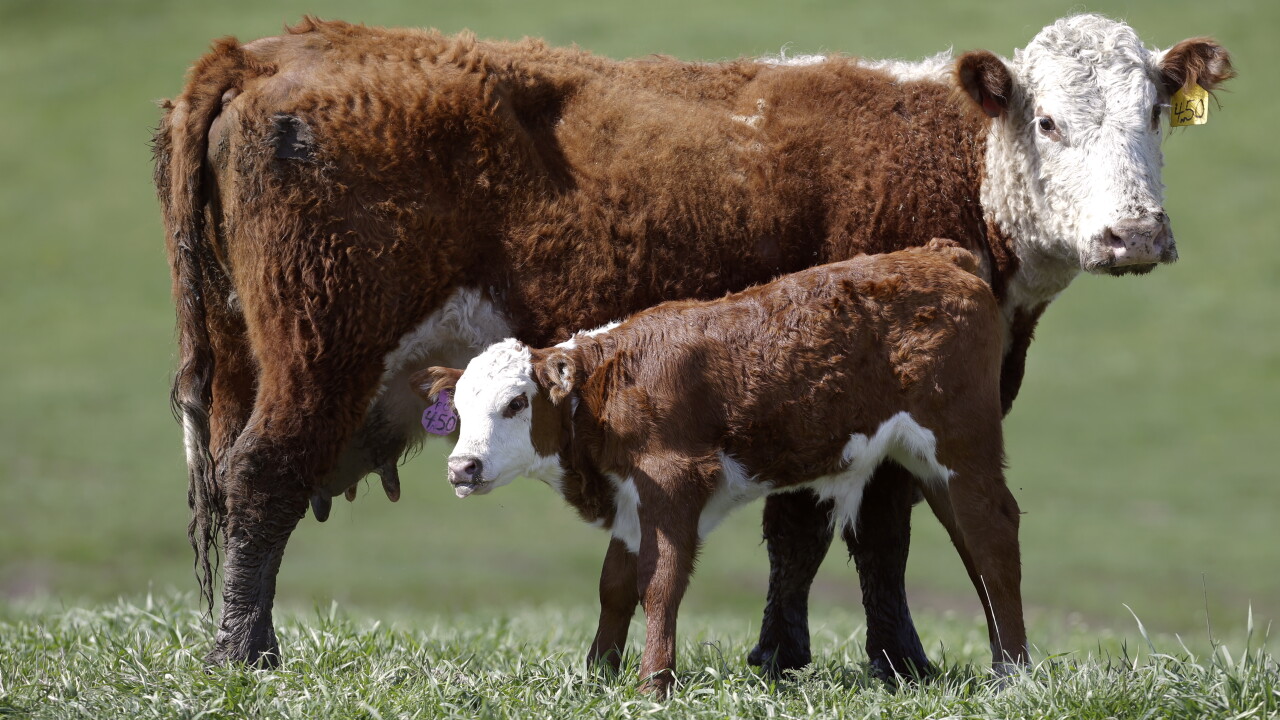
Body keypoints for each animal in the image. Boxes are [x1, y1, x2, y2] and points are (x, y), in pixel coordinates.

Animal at [412, 241, 1016, 695]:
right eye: (459, 410)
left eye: (516, 402)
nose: (463, 467)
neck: (608, 391)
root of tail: (939, 255)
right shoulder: (631, 499)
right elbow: (615, 586)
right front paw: (597, 674)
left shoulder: (673, 484)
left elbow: (660, 583)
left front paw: (653, 684)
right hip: (928, 461)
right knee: (972, 546)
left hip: (962, 442)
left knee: (992, 538)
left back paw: (1012, 674)